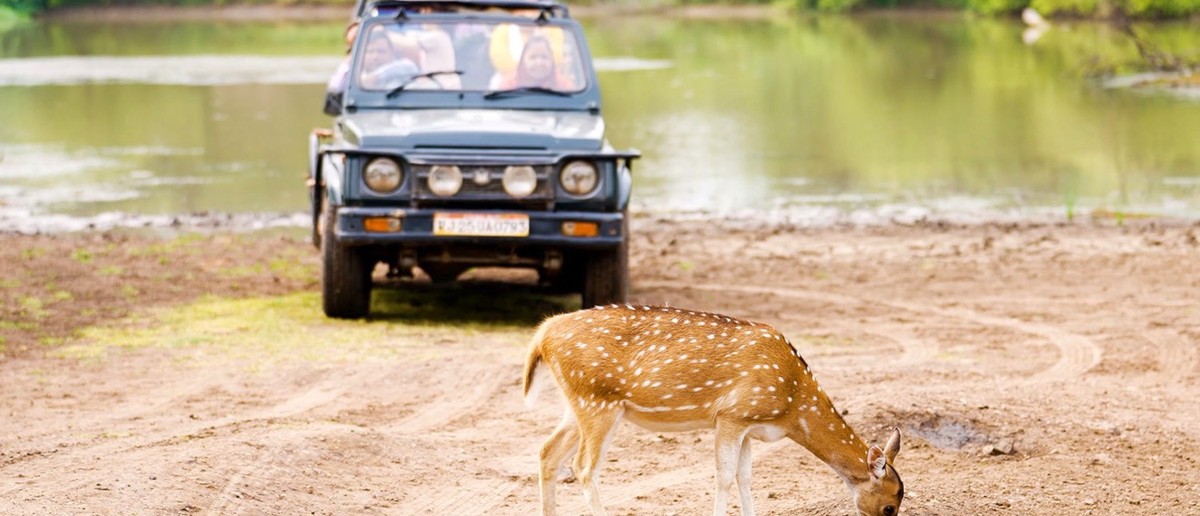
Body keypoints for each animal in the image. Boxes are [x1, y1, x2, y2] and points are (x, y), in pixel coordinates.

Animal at [522, 304, 904, 516]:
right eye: (889, 507)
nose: (888, 509)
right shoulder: (732, 415)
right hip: (597, 401)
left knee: (547, 452)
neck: (791, 405)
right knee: (583, 467)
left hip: (576, 404)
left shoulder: (749, 427)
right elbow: (723, 477)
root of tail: (541, 334)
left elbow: (745, 478)